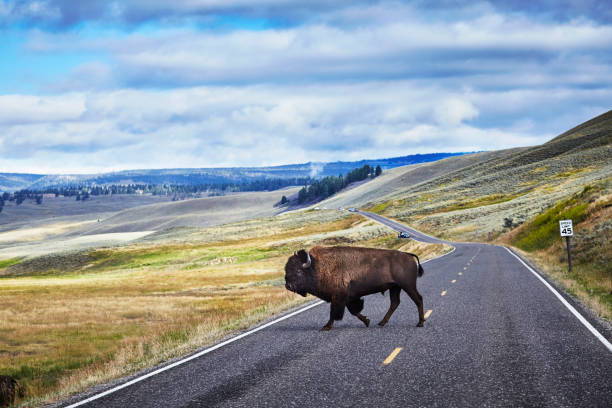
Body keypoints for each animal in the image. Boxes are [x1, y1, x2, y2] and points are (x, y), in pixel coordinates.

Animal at [284, 247, 424, 330]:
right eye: (286, 270)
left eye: (298, 271)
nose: (288, 286)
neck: (317, 266)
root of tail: (408, 255)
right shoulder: (348, 298)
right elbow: (354, 311)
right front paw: (367, 321)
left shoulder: (338, 297)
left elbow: (335, 313)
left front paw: (326, 327)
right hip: (395, 288)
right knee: (395, 303)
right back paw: (382, 322)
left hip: (408, 286)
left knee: (418, 299)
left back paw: (420, 323)